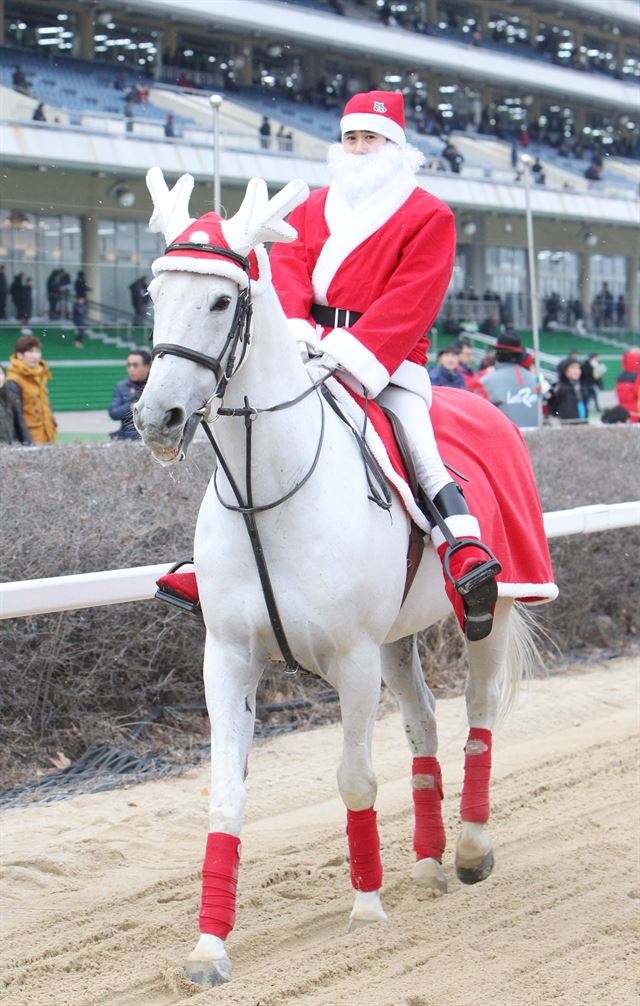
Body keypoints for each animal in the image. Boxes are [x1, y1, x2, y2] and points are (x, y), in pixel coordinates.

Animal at [134, 169, 551, 985]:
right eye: (153, 291)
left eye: (222, 301)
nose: (156, 416)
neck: (269, 489)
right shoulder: (228, 659)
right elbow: (225, 797)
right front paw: (209, 946)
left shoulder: (352, 661)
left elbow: (355, 777)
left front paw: (365, 910)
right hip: (397, 639)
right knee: (424, 724)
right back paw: (425, 863)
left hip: (489, 610)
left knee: (478, 714)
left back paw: (469, 849)